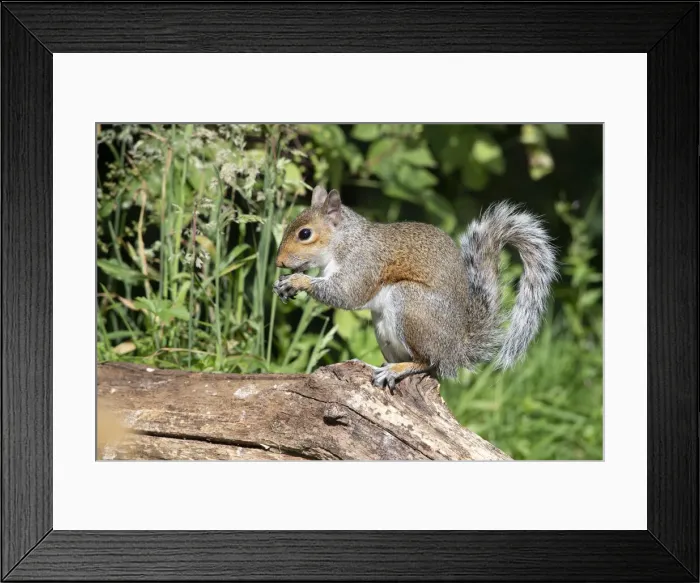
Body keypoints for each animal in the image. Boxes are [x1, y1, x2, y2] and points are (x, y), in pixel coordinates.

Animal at [273, 185, 557, 391]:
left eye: (305, 234)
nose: (278, 262)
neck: (344, 241)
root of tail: (455, 350)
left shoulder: (364, 263)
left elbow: (347, 294)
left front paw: (297, 281)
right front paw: (286, 284)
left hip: (411, 305)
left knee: (428, 362)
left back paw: (395, 370)